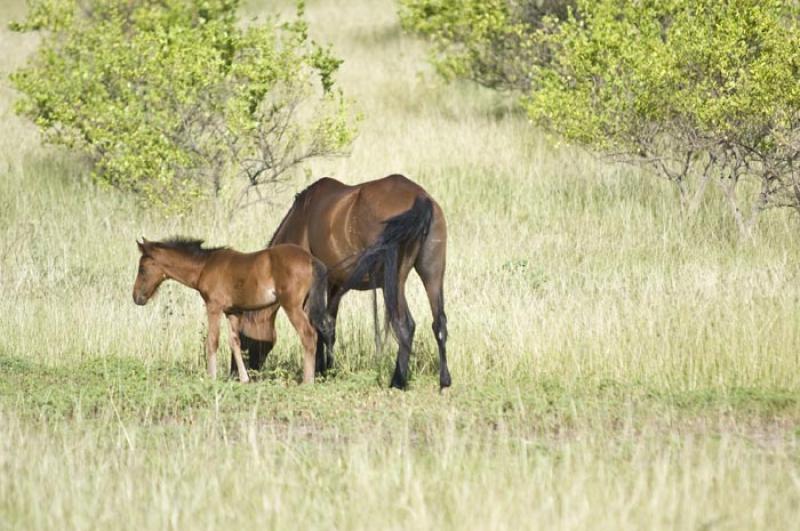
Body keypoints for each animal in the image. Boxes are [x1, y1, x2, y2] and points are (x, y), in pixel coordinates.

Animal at [134, 239, 332, 384]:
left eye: (142, 269)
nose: (136, 297)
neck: (204, 266)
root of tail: (310, 259)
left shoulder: (214, 307)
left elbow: (212, 341)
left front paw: (211, 377)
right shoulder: (233, 312)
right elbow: (235, 342)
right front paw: (244, 378)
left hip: (292, 306)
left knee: (308, 335)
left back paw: (307, 381)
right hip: (305, 305)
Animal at [236, 175, 450, 390]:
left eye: (243, 338)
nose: (236, 373)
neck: (301, 221)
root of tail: (420, 197)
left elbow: (316, 323)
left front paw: (320, 370)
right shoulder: (335, 285)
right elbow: (329, 325)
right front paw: (327, 370)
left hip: (394, 282)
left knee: (405, 326)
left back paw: (397, 382)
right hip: (432, 274)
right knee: (439, 323)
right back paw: (444, 381)